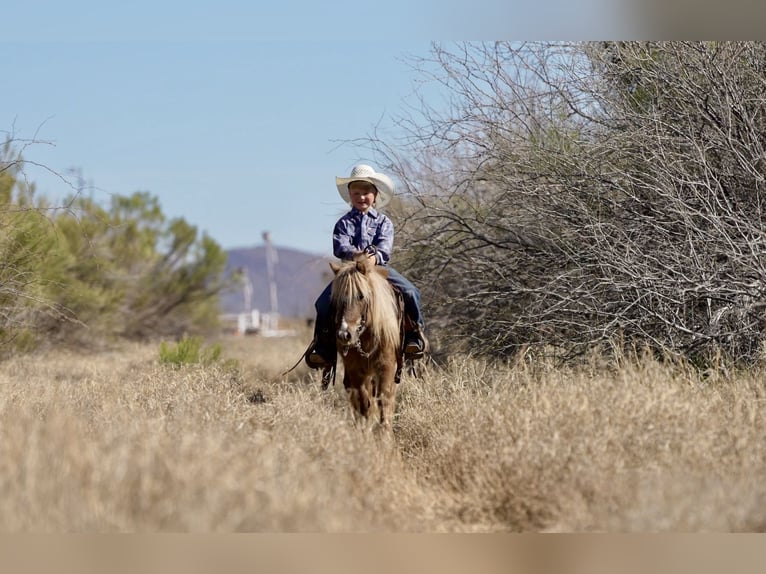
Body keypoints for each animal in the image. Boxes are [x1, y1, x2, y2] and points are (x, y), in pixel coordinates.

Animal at [329, 252, 403, 431]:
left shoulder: (386, 366)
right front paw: (365, 432)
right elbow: (364, 403)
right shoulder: (356, 370)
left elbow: (384, 400)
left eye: (361, 296)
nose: (344, 335)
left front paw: (385, 435)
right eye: (336, 299)